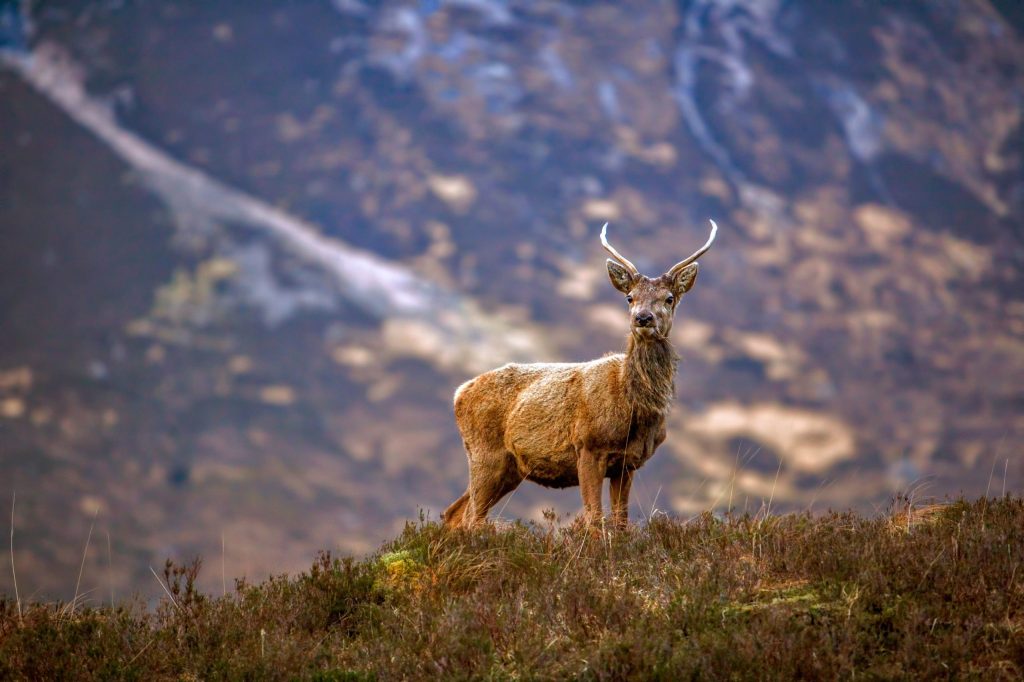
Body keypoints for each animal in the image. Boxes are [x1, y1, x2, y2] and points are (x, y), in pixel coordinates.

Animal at [442, 220, 718, 530]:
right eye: (630, 297)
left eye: (669, 298)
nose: (643, 318)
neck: (632, 408)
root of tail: (459, 393)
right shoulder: (588, 446)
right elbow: (594, 520)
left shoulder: (627, 463)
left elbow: (620, 522)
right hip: (485, 453)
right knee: (471, 517)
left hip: (509, 468)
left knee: (454, 512)